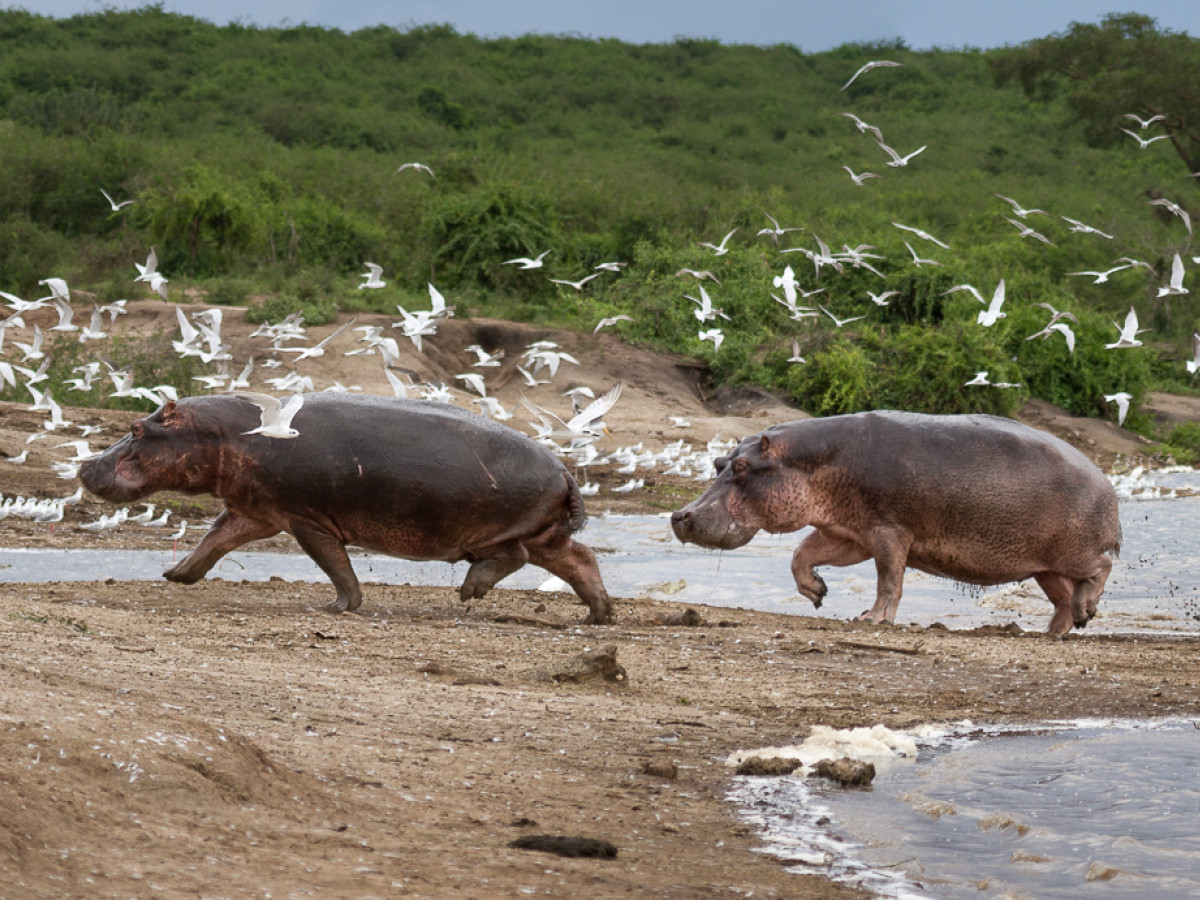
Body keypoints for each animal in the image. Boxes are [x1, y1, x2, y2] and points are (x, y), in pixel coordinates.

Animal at [79, 394, 612, 623]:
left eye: (137, 428)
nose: (85, 465)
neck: (223, 434)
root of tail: (564, 469)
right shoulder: (256, 511)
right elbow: (214, 539)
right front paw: (176, 575)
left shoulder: (306, 519)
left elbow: (334, 565)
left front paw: (338, 607)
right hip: (545, 534)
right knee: (581, 559)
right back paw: (598, 616)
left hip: (504, 533)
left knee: (514, 558)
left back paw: (469, 591)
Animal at [671, 411, 1121, 637]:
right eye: (719, 463)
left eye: (742, 467)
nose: (679, 515)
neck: (813, 461)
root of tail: (1106, 482)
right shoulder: (849, 533)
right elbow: (802, 554)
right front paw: (817, 593)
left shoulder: (888, 531)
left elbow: (889, 578)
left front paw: (870, 619)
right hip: (1044, 565)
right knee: (1062, 597)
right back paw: (1059, 630)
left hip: (1075, 552)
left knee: (1101, 567)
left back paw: (1085, 610)